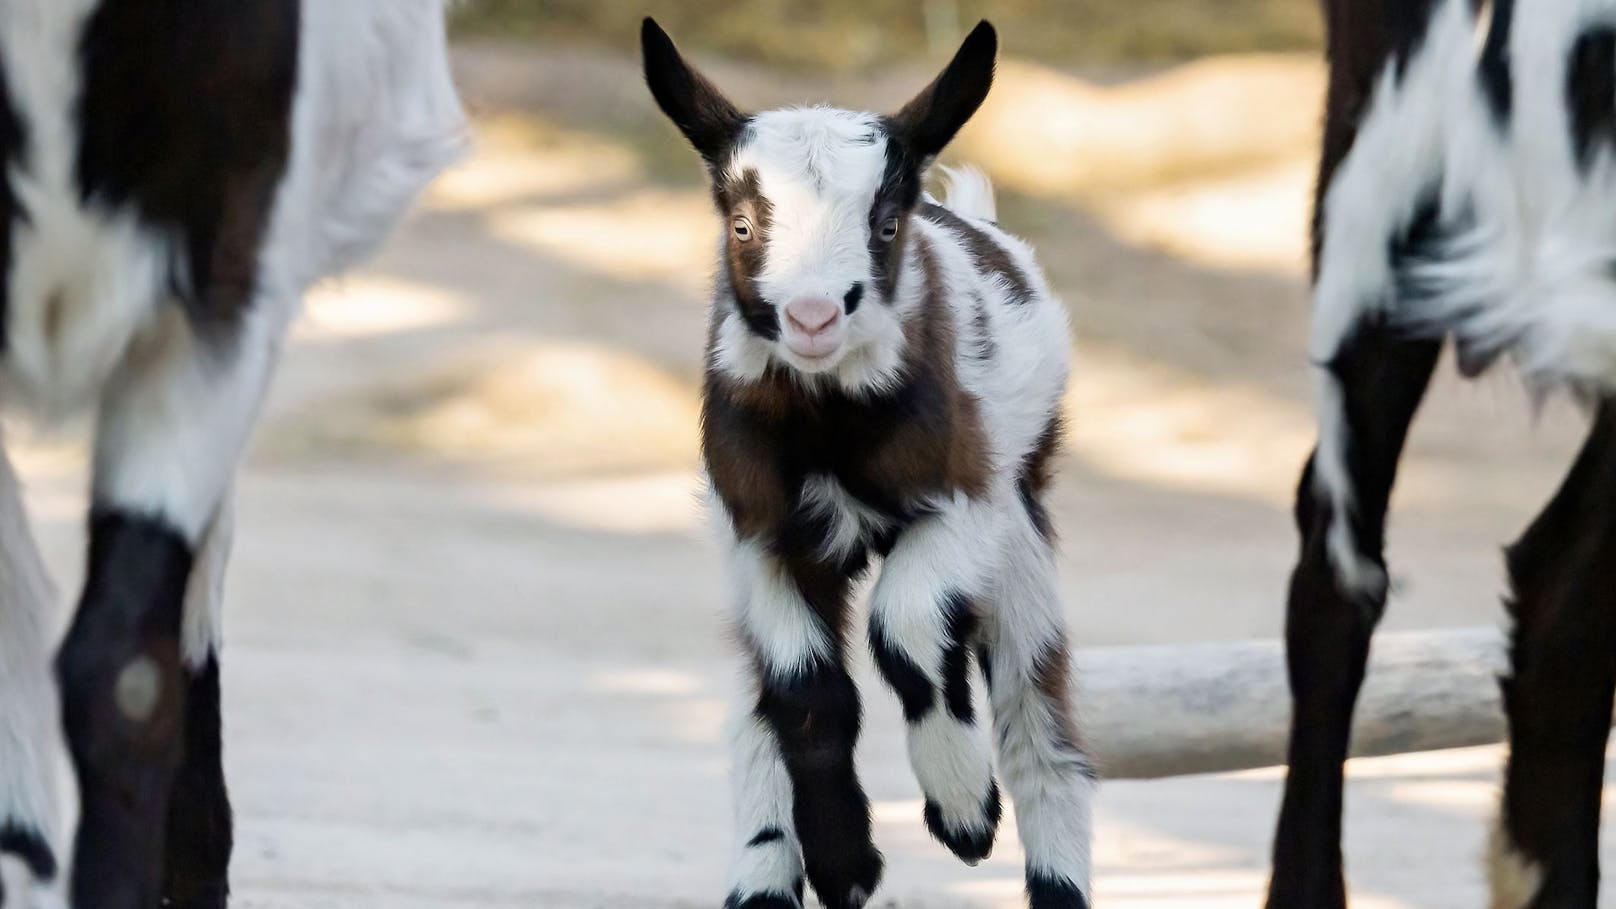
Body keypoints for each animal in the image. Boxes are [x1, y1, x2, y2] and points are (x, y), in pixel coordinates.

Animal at [643, 19, 1098, 905]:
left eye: (885, 224)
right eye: (742, 225)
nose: (814, 315)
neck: (828, 425)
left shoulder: (965, 502)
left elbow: (906, 630)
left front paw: (963, 816)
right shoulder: (759, 535)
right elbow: (806, 692)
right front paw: (844, 862)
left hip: (1021, 520)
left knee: (1040, 723)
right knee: (755, 711)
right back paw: (765, 875)